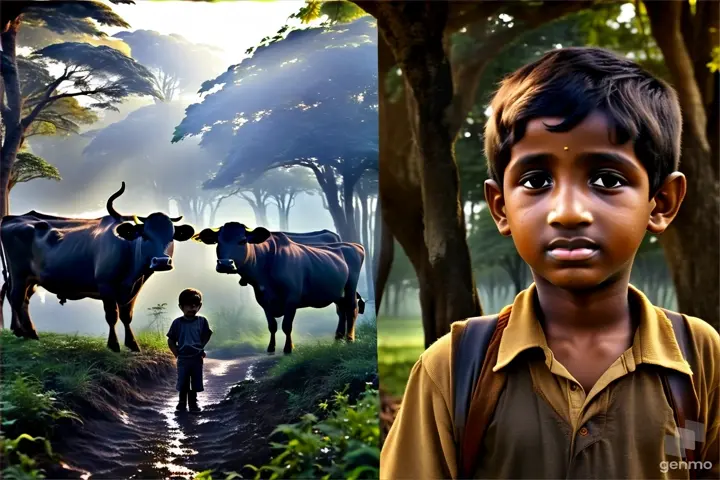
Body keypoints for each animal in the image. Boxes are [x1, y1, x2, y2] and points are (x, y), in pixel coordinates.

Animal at [0, 182, 195, 350]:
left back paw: (30, 332)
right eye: (145, 235)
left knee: (24, 300)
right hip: (18, 274)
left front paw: (132, 344)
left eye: (171, 236)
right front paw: (114, 345)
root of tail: (12, 219)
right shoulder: (105, 285)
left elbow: (127, 316)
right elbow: (112, 315)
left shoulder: (134, 289)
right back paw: (22, 332)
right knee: (15, 297)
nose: (161, 261)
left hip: (31, 279)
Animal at [193, 223, 366, 354]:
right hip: (337, 292)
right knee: (341, 310)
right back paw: (338, 338)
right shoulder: (264, 301)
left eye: (242, 241)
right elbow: (272, 326)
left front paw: (288, 348)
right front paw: (271, 347)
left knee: (352, 309)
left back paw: (350, 339)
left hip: (350, 288)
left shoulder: (291, 299)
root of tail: (354, 246)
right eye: (218, 241)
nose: (225, 264)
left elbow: (286, 326)